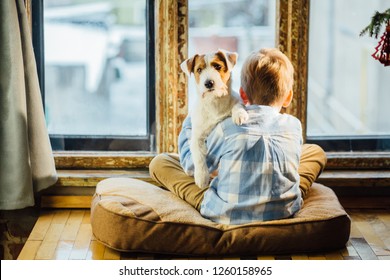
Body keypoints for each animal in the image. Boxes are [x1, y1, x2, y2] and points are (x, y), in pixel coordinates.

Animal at [181, 48, 248, 188]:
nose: (208, 83)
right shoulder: (197, 137)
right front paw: (202, 177)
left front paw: (240, 114)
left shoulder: (236, 100)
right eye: (199, 70)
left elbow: (237, 104)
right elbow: (199, 156)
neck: (214, 101)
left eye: (217, 66)